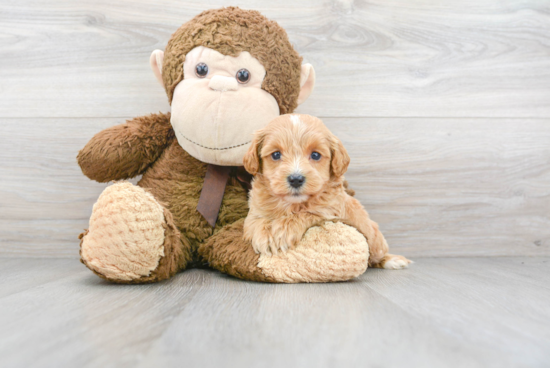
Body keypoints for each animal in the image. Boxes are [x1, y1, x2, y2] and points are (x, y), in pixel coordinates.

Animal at [244, 113, 412, 268]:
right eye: (276, 154)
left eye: (315, 155)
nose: (296, 179)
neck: (292, 204)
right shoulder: (255, 209)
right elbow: (255, 221)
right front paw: (264, 235)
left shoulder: (330, 211)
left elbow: (307, 213)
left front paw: (283, 231)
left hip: (375, 240)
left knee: (376, 256)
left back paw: (392, 260)